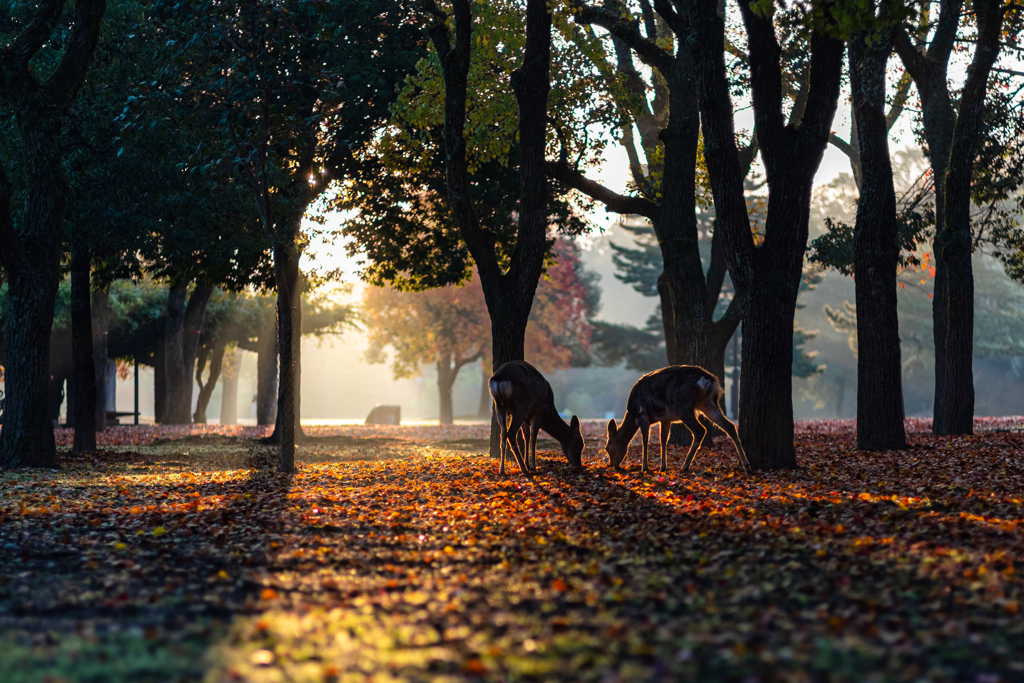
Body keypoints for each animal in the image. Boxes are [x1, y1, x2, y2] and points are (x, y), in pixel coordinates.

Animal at [602, 362, 749, 475]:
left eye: (607, 448)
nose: (613, 465)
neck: (631, 415)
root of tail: (707, 380)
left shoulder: (642, 414)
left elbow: (645, 439)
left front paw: (644, 468)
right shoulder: (665, 419)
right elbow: (663, 440)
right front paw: (662, 468)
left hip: (682, 405)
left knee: (700, 430)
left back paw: (684, 467)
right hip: (708, 402)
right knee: (730, 426)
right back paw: (747, 466)